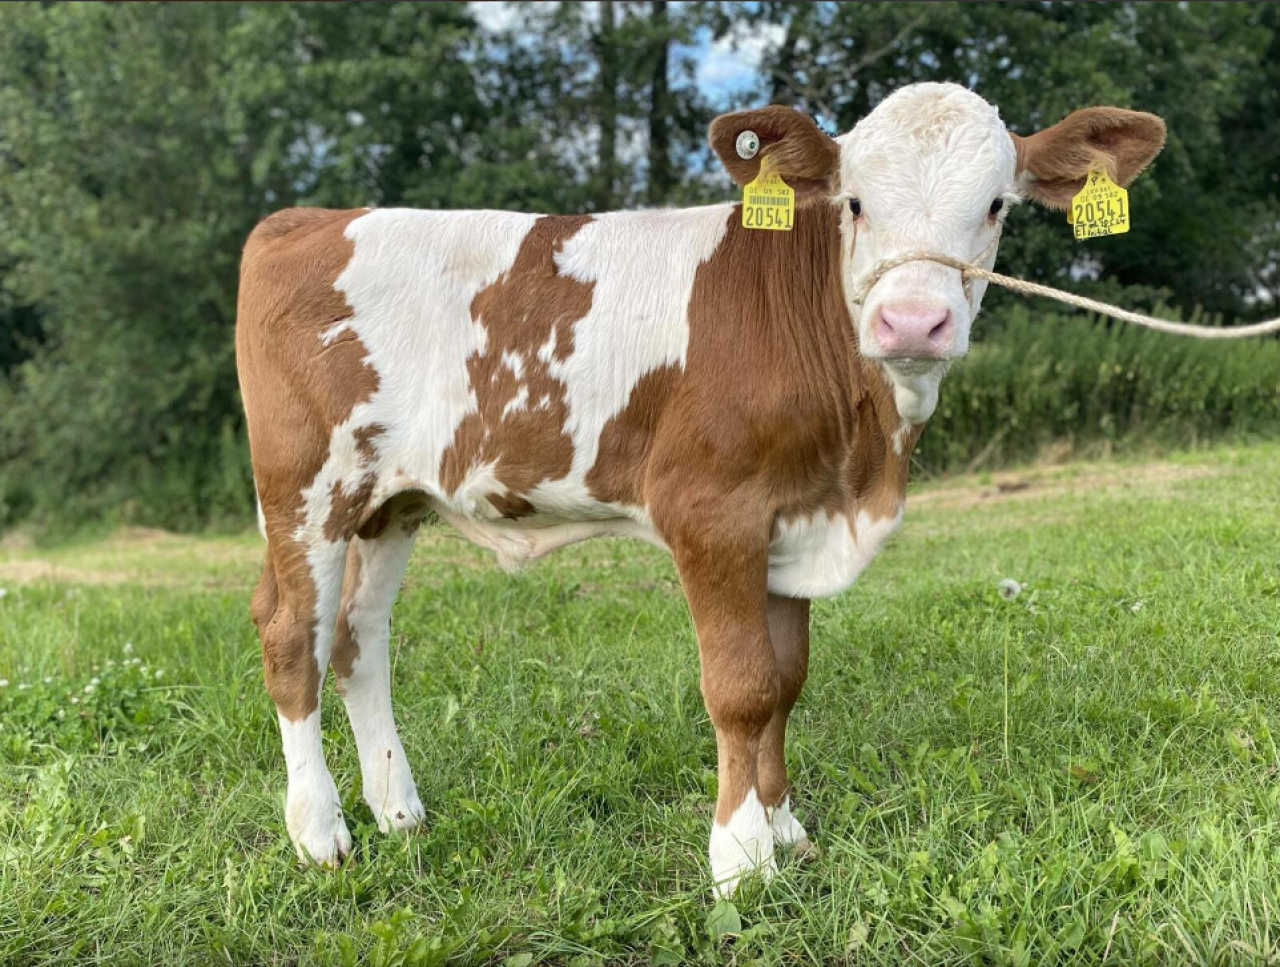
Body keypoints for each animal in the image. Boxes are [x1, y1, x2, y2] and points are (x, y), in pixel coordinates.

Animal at [235, 85, 1167, 901]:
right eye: (855, 203)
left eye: (997, 206)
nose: (911, 321)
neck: (862, 462)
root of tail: (307, 218)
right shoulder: (712, 511)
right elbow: (741, 686)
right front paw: (741, 856)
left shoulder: (797, 514)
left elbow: (786, 678)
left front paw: (786, 826)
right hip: (304, 487)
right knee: (291, 637)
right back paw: (319, 832)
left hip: (389, 501)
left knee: (356, 638)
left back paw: (399, 810)